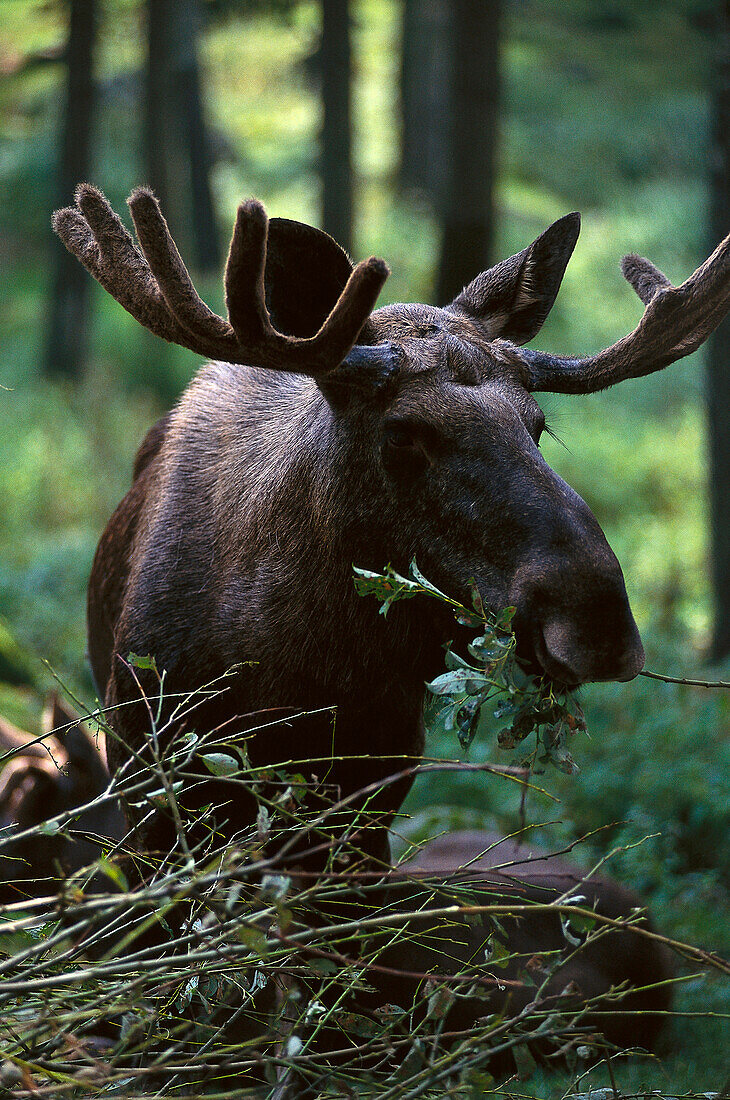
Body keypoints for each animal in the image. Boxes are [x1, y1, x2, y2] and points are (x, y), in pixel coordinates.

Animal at [52, 184, 730, 871]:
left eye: (537, 424)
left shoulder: (371, 798)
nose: (598, 622)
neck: (288, 683)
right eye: (402, 434)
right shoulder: (145, 777)